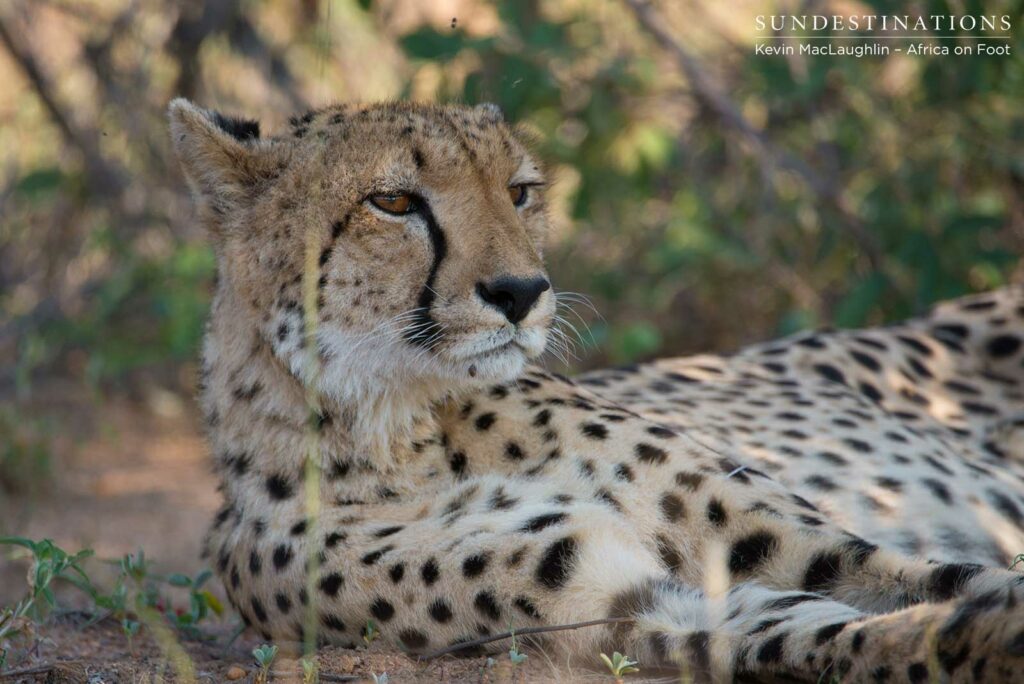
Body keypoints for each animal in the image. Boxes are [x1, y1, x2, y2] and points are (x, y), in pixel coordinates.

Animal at [169, 97, 1024, 682]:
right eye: (394, 202)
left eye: (518, 191)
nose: (521, 292)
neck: (400, 427)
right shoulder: (621, 599)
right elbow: (844, 633)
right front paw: (981, 636)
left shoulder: (794, 540)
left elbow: (941, 575)